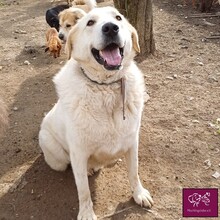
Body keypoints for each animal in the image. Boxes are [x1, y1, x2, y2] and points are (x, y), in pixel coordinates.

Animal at [39, 6, 153, 220]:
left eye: (118, 18)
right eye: (90, 22)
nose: (111, 28)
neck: (105, 88)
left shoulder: (132, 142)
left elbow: (134, 172)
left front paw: (139, 194)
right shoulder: (78, 153)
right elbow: (83, 190)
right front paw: (86, 213)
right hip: (55, 153)